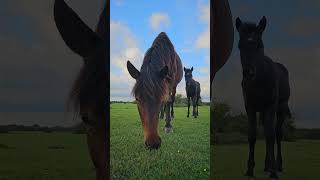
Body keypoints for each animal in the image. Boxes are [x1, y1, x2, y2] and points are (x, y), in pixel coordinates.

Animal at [236, 16, 292, 179]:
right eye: (240, 46)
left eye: (260, 46)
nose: (249, 73)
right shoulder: (250, 107)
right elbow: (252, 135)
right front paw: (249, 169)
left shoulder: (270, 106)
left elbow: (270, 136)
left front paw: (274, 171)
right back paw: (267, 165)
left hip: (281, 108)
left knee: (277, 134)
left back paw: (278, 165)